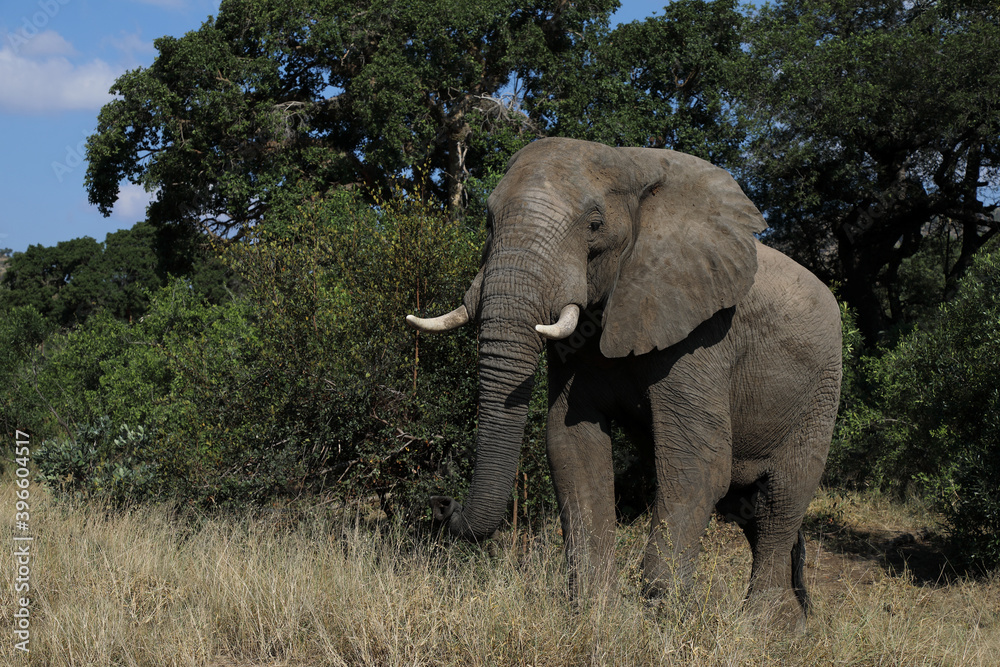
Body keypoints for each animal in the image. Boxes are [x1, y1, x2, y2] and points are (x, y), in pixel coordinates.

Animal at [406, 137, 842, 621]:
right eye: (487, 221)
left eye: (595, 226)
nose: (442, 504)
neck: (631, 165)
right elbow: (572, 447)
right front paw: (595, 614)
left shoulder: (702, 332)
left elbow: (698, 462)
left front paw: (665, 616)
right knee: (750, 509)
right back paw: (792, 626)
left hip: (821, 390)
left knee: (779, 504)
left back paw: (761, 626)